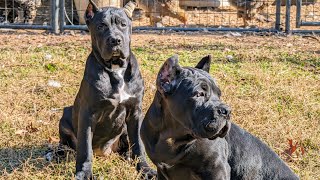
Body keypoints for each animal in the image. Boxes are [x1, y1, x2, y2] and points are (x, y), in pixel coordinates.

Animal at [59, 1, 156, 179]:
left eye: (123, 24)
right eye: (101, 26)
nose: (115, 40)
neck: (116, 68)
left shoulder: (135, 112)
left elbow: (138, 144)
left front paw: (145, 169)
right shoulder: (88, 114)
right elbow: (85, 148)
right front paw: (84, 173)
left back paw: (127, 156)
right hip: (65, 115)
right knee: (66, 145)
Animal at [141, 55, 298, 179]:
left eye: (219, 94)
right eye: (199, 94)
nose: (227, 110)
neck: (172, 136)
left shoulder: (217, 169)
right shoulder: (162, 170)